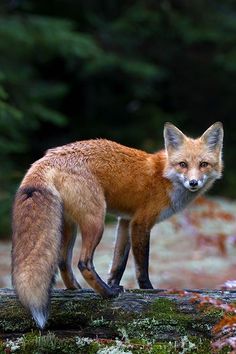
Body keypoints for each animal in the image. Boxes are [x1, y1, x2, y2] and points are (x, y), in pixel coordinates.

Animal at [12, 123, 223, 328]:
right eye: (183, 164)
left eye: (203, 164)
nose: (193, 182)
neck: (164, 177)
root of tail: (47, 157)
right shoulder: (140, 223)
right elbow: (141, 267)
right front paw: (148, 291)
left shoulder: (125, 221)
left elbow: (118, 264)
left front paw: (113, 283)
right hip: (96, 221)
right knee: (83, 263)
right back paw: (107, 294)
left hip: (69, 226)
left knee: (63, 262)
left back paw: (78, 290)